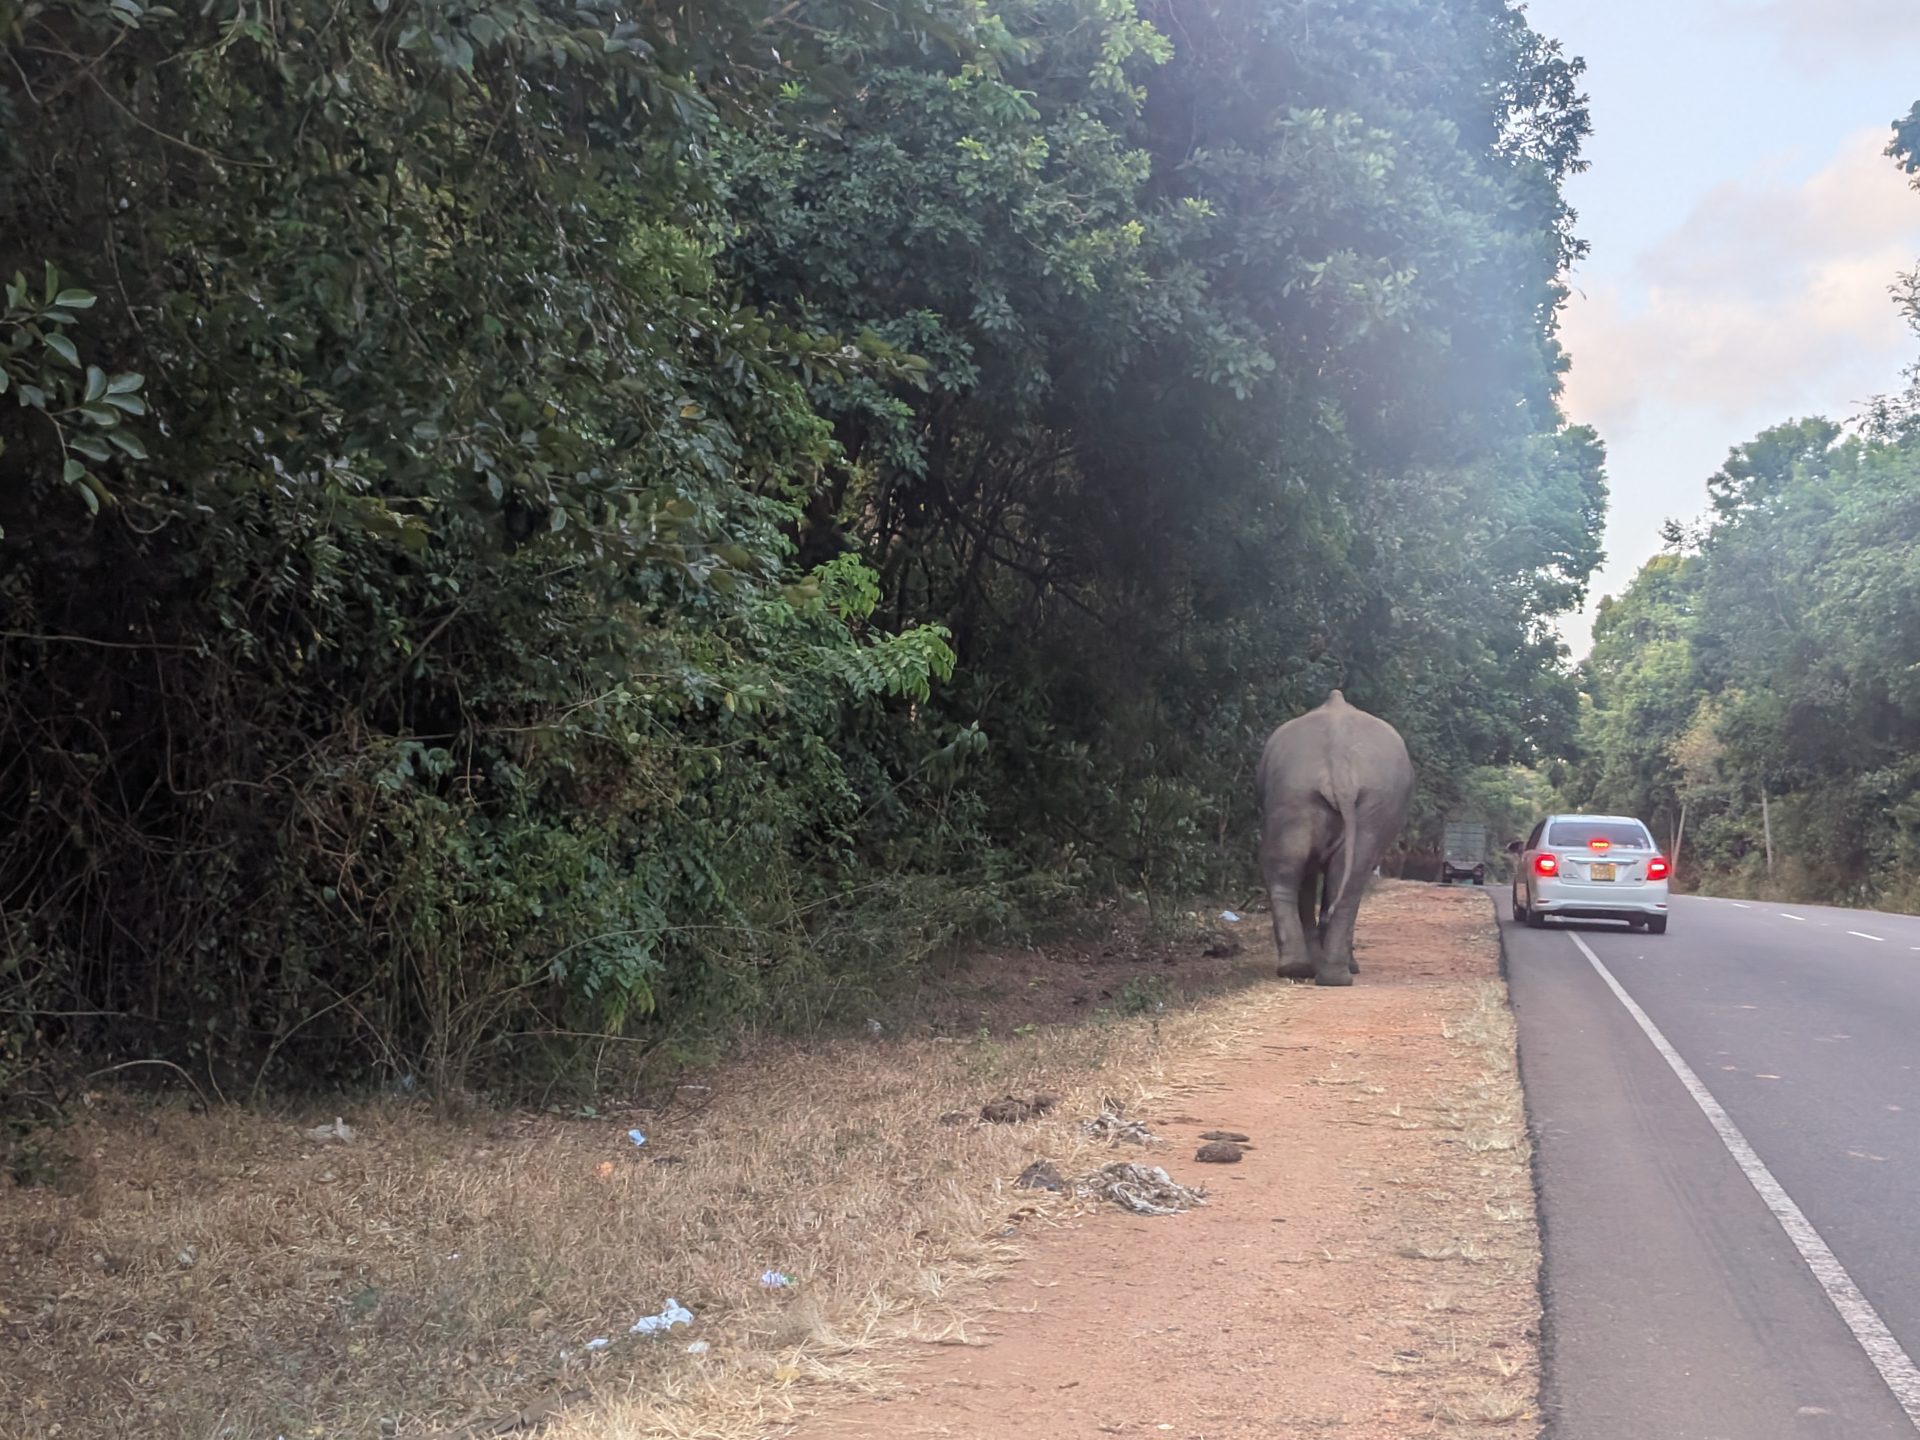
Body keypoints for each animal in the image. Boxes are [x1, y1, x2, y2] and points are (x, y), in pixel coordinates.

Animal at [1256, 689, 1414, 986]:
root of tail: (1339, 759)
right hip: (1360, 799)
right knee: (1345, 877)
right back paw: (1333, 974)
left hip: (1293, 791)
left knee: (1289, 865)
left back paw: (1302, 970)